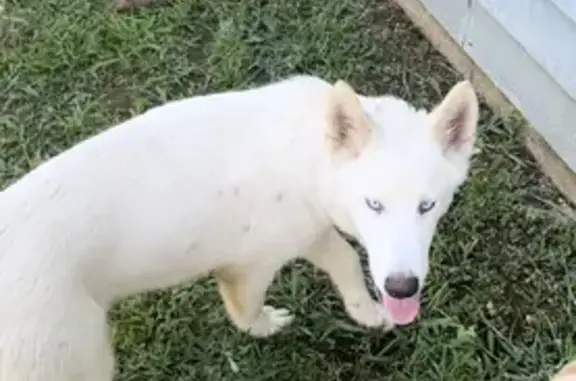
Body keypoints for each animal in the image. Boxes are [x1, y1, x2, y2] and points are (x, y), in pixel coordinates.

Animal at [0, 74, 476, 378]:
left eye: (427, 206)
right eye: (374, 204)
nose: (402, 288)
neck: (308, 153)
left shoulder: (310, 230)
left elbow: (345, 260)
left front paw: (366, 311)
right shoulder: (248, 267)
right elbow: (245, 312)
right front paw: (265, 326)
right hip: (80, 362)